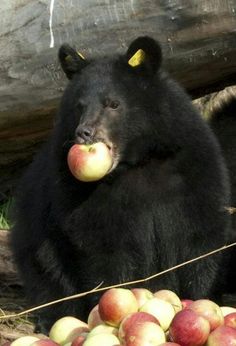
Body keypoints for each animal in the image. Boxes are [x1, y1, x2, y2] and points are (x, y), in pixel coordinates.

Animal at [10, 35, 232, 332]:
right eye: (79, 105)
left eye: (113, 104)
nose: (84, 133)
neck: (138, 161)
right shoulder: (77, 190)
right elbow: (104, 245)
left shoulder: (192, 166)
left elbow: (199, 237)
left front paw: (203, 300)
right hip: (36, 236)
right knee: (48, 273)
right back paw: (49, 318)